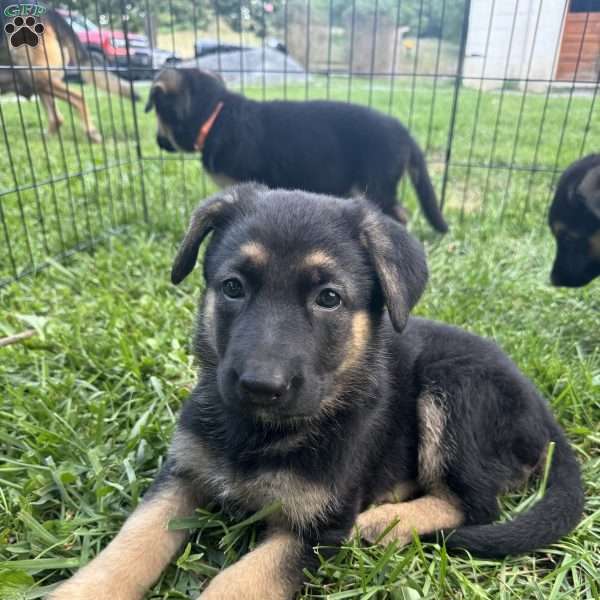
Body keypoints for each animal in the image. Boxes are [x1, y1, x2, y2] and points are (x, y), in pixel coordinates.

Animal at [51, 186, 580, 600]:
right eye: (233, 287)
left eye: (329, 298)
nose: (260, 386)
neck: (261, 432)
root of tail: (543, 411)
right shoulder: (181, 473)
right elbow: (132, 541)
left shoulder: (318, 529)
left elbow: (236, 582)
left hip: (453, 385)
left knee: (472, 504)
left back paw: (384, 521)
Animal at [143, 67, 448, 232]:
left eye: (156, 110)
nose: (158, 141)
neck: (214, 115)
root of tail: (404, 132)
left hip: (376, 185)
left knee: (400, 214)